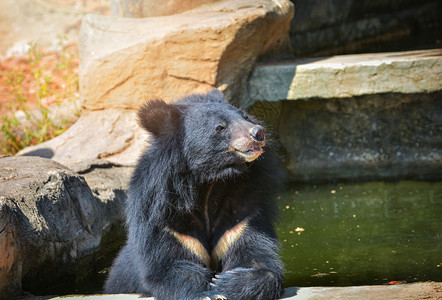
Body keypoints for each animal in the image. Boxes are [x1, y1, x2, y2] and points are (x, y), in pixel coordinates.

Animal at [104, 89, 284, 300]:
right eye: (220, 127)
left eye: (245, 117)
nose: (258, 132)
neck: (209, 184)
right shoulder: (168, 222)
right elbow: (169, 267)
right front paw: (206, 292)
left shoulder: (240, 217)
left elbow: (256, 256)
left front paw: (228, 283)